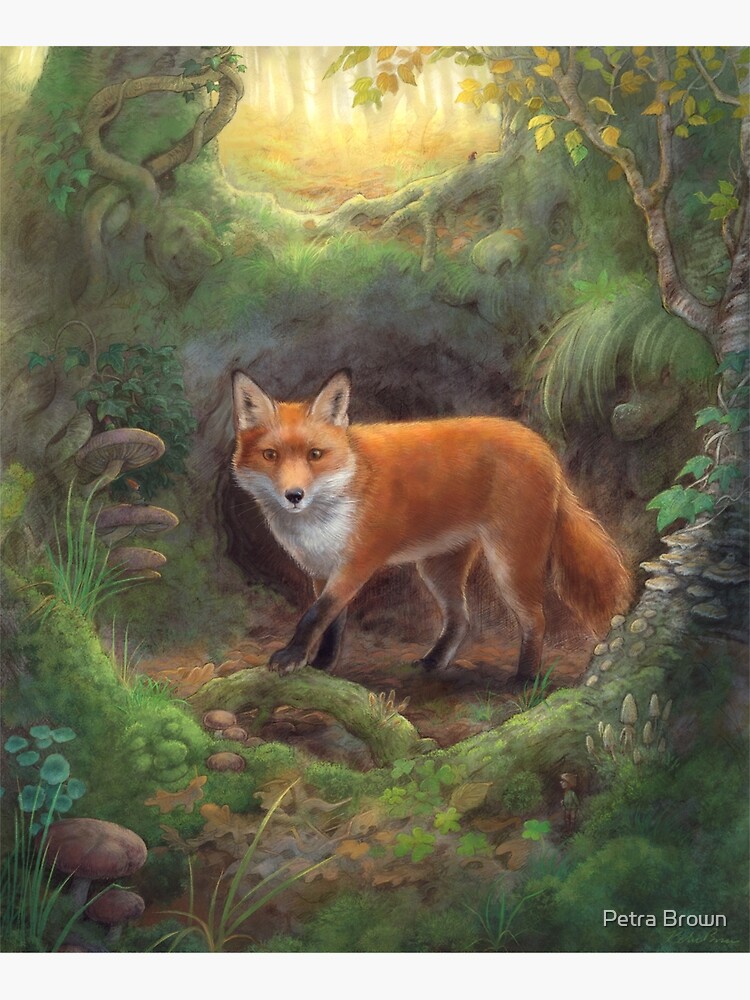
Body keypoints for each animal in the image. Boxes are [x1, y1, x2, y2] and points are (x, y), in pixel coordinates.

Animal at [231, 368, 633, 681]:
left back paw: (524, 680)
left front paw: (293, 657)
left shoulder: (357, 564)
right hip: (437, 568)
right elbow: (330, 622)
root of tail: (542, 446)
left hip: (510, 564)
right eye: (271, 455)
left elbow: (313, 616)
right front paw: (321, 665)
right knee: (461, 619)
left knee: (536, 618)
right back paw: (434, 662)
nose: (293, 495)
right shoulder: (321, 569)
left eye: (315, 455)